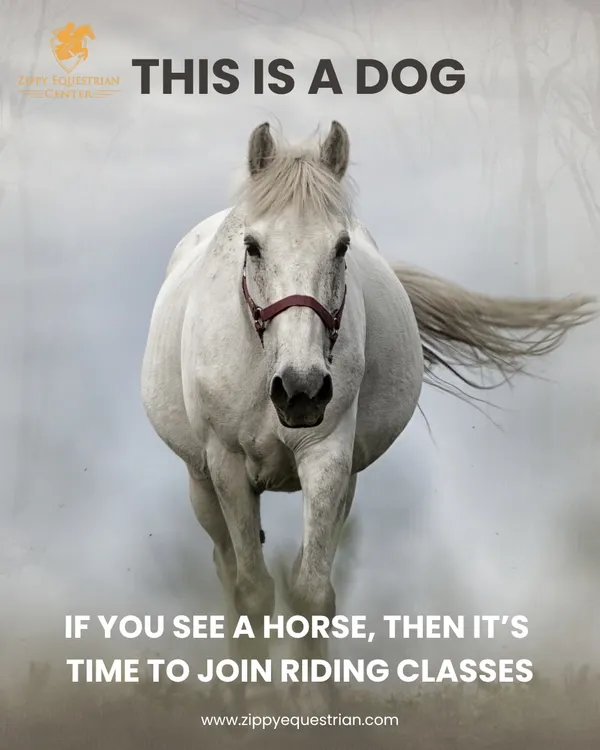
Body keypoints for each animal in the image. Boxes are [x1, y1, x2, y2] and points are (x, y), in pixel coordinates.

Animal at [141, 121, 596, 712]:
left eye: (340, 246)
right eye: (252, 245)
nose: (301, 390)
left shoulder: (329, 458)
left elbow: (312, 591)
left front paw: (315, 705)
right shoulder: (228, 465)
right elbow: (253, 592)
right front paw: (255, 704)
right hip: (201, 483)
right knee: (227, 570)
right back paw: (233, 689)